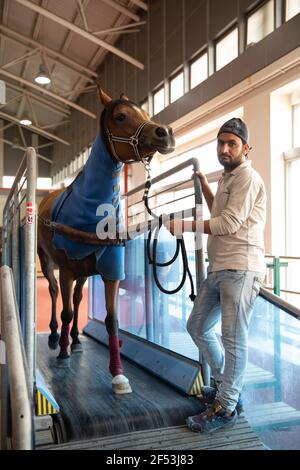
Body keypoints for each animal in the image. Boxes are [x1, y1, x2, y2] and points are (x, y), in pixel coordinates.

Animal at [37, 87, 176, 392]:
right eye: (121, 116)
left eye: (145, 112)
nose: (165, 133)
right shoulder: (67, 270)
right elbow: (66, 312)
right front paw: (62, 355)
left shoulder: (111, 270)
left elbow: (112, 320)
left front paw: (118, 373)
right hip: (48, 263)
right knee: (54, 294)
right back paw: (55, 337)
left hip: (84, 273)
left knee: (77, 299)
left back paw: (76, 339)